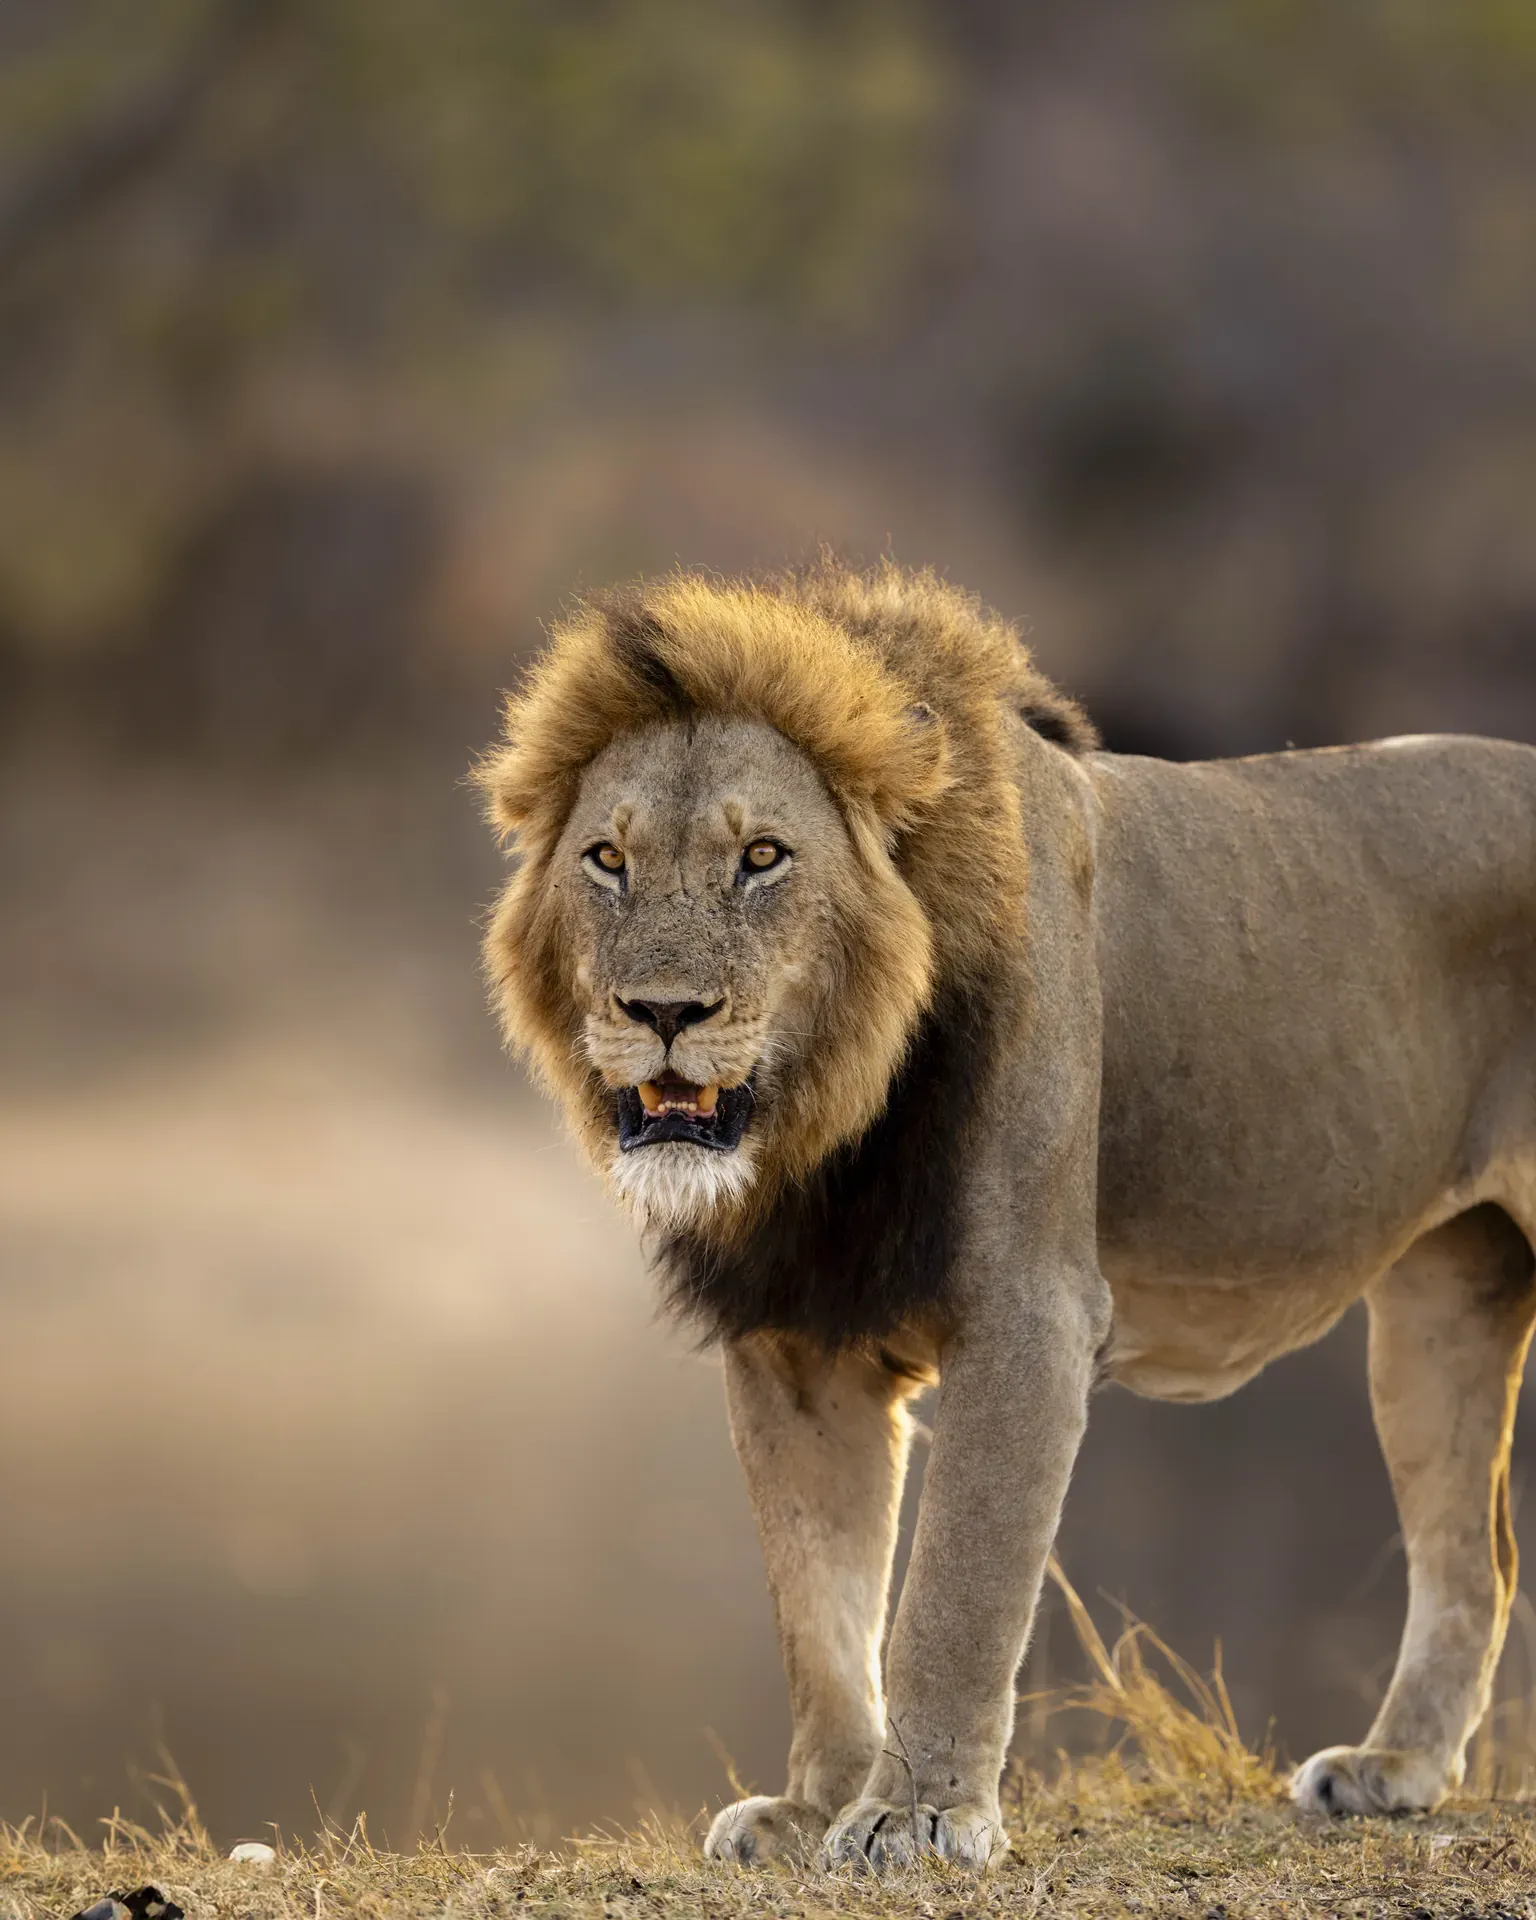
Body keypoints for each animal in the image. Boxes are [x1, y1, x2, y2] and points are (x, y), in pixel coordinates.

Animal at [476, 560, 1536, 1870]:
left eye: (764, 855)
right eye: (608, 859)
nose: (663, 1011)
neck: (831, 1121)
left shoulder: (1031, 1315)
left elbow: (955, 1589)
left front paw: (917, 1815)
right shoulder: (793, 1340)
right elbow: (819, 1604)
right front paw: (817, 1804)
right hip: (1441, 1302)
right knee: (1476, 1555)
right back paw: (1395, 1771)